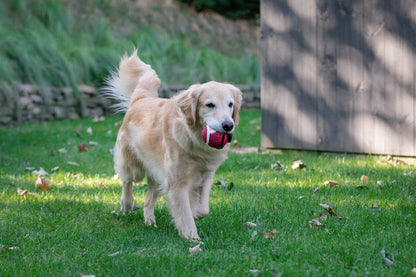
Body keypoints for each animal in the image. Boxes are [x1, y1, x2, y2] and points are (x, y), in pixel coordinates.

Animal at [105, 50, 244, 239]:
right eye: (210, 105)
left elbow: (203, 209)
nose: (228, 125)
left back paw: (150, 221)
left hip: (159, 176)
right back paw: (126, 205)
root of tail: (141, 99)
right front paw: (193, 239)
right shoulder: (177, 182)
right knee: (127, 180)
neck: (194, 139)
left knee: (149, 200)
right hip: (135, 166)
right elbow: (184, 214)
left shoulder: (206, 175)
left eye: (230, 104)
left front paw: (195, 214)